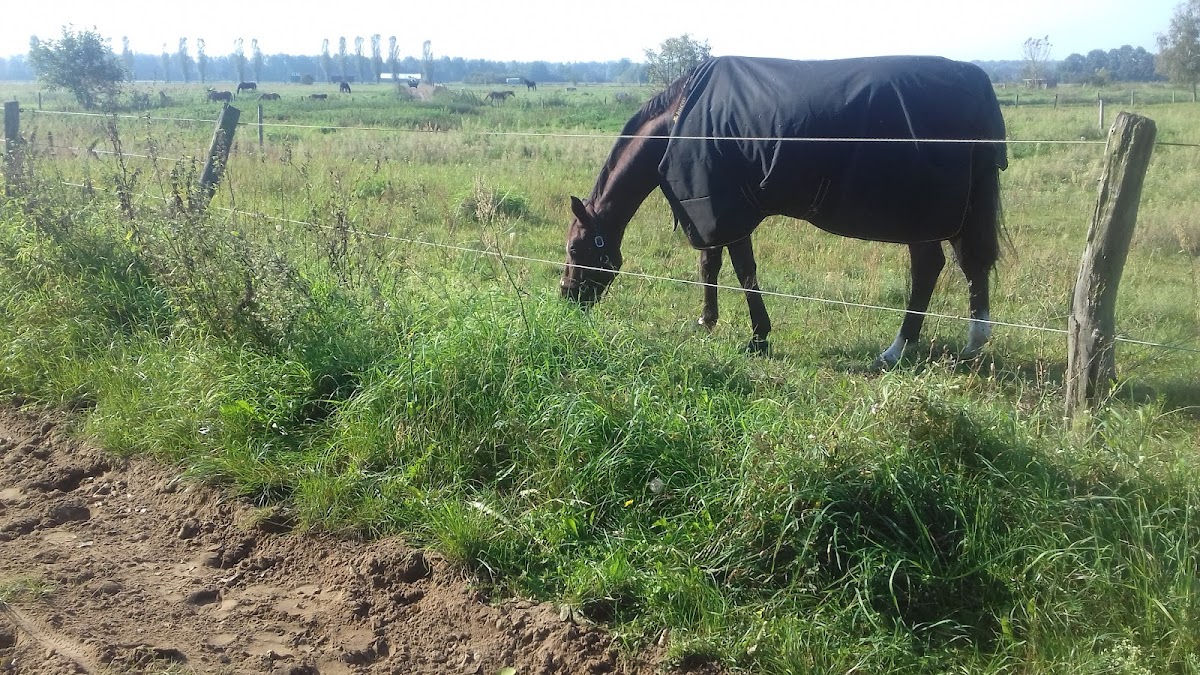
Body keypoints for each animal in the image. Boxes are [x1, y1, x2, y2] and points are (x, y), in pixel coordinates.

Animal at [561, 56, 1007, 368]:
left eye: (575, 249)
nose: (566, 298)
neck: (680, 121)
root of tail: (975, 83)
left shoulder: (723, 207)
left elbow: (744, 271)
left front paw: (758, 338)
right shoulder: (713, 211)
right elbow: (710, 265)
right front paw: (707, 321)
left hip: (921, 216)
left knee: (928, 269)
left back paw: (896, 350)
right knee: (971, 263)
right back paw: (974, 342)